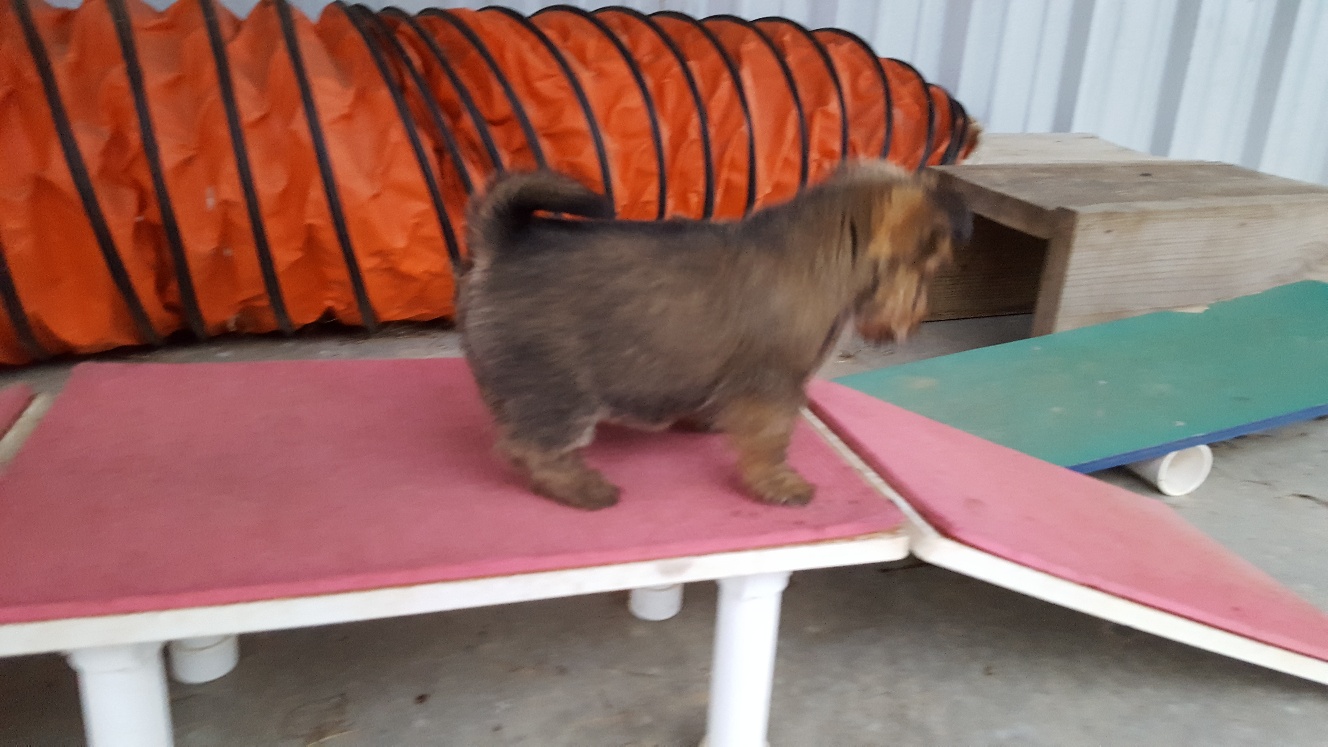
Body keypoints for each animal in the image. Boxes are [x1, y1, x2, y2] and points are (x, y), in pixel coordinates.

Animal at [458, 162, 971, 510]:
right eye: (927, 265)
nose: (913, 322)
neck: (824, 254)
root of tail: (501, 245)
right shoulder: (775, 384)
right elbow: (772, 440)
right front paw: (780, 484)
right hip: (557, 390)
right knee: (536, 447)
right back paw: (583, 487)